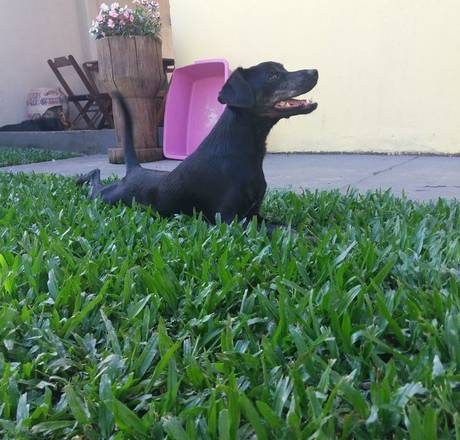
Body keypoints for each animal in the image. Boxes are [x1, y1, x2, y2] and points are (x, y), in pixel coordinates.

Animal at [77, 61, 318, 228]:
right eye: (272, 75)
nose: (314, 72)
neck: (244, 151)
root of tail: (135, 171)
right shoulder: (229, 220)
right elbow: (283, 231)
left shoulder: (254, 214)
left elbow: (284, 226)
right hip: (107, 198)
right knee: (94, 188)